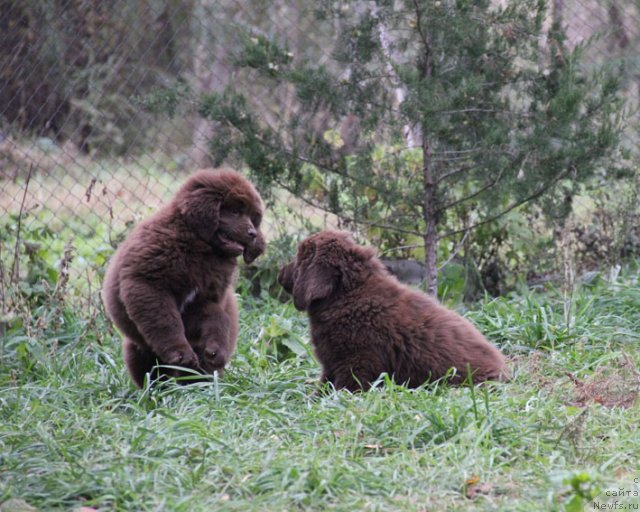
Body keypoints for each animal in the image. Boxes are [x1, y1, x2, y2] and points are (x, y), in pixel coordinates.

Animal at [102, 169, 264, 388]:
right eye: (235, 211)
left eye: (253, 217)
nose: (253, 233)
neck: (200, 246)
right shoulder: (148, 284)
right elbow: (166, 321)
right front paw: (180, 353)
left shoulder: (205, 297)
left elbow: (216, 315)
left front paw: (215, 351)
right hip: (137, 347)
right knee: (151, 369)